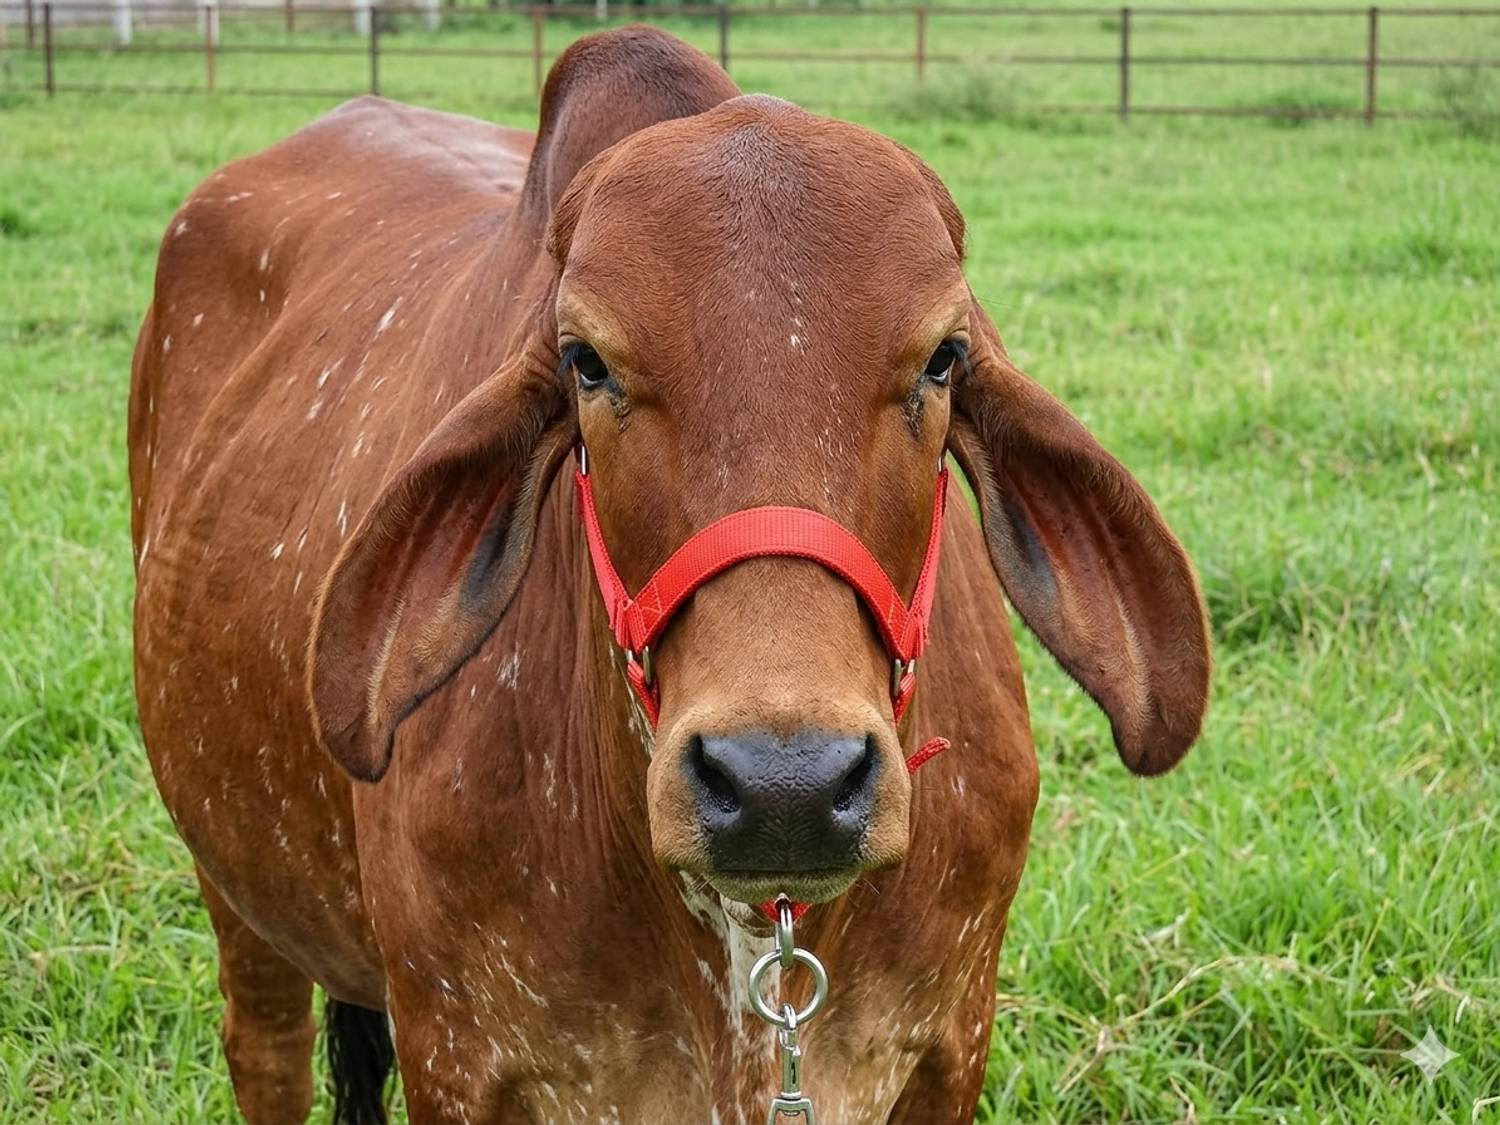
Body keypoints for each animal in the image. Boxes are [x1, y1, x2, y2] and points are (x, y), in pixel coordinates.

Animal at [128, 26, 1210, 1125]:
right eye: (586, 362)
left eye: (943, 357)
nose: (785, 784)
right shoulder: (453, 1056)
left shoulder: (951, 1046)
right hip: (233, 876)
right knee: (266, 1049)